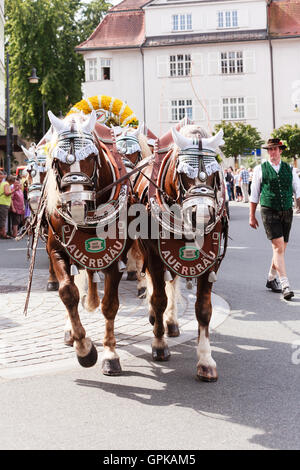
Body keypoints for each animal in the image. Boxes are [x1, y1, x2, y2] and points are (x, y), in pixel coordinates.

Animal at [44, 110, 132, 374]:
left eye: (92, 157)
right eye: (57, 161)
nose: (76, 205)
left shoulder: (117, 258)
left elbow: (110, 305)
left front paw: (110, 354)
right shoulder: (57, 250)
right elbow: (67, 292)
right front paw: (83, 347)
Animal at [135, 124, 229, 382]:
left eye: (215, 173)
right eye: (183, 172)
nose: (204, 215)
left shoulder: (210, 261)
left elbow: (203, 309)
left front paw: (205, 360)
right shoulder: (154, 255)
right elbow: (158, 300)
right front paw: (159, 345)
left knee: (173, 281)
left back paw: (172, 322)